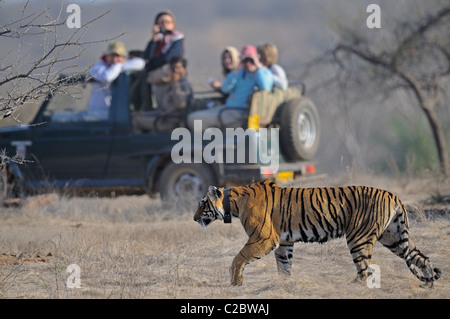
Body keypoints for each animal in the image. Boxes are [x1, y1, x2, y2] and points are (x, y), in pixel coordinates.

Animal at [192, 180, 440, 288]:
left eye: (202, 203)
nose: (194, 219)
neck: (232, 203)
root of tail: (393, 195)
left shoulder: (264, 238)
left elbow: (238, 258)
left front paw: (236, 282)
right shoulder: (283, 242)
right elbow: (284, 266)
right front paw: (284, 286)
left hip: (358, 238)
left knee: (365, 269)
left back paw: (350, 286)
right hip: (393, 237)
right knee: (421, 257)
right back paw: (429, 283)